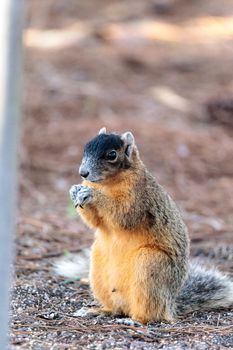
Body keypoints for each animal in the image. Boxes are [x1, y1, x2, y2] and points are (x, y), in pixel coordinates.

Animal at [68, 127, 233, 324]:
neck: (108, 183)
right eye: (85, 148)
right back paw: (99, 311)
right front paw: (74, 191)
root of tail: (170, 305)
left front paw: (92, 194)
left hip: (150, 265)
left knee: (151, 314)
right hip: (98, 268)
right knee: (117, 308)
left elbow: (123, 214)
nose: (83, 173)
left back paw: (134, 320)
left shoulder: (139, 197)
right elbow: (95, 221)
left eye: (112, 154)